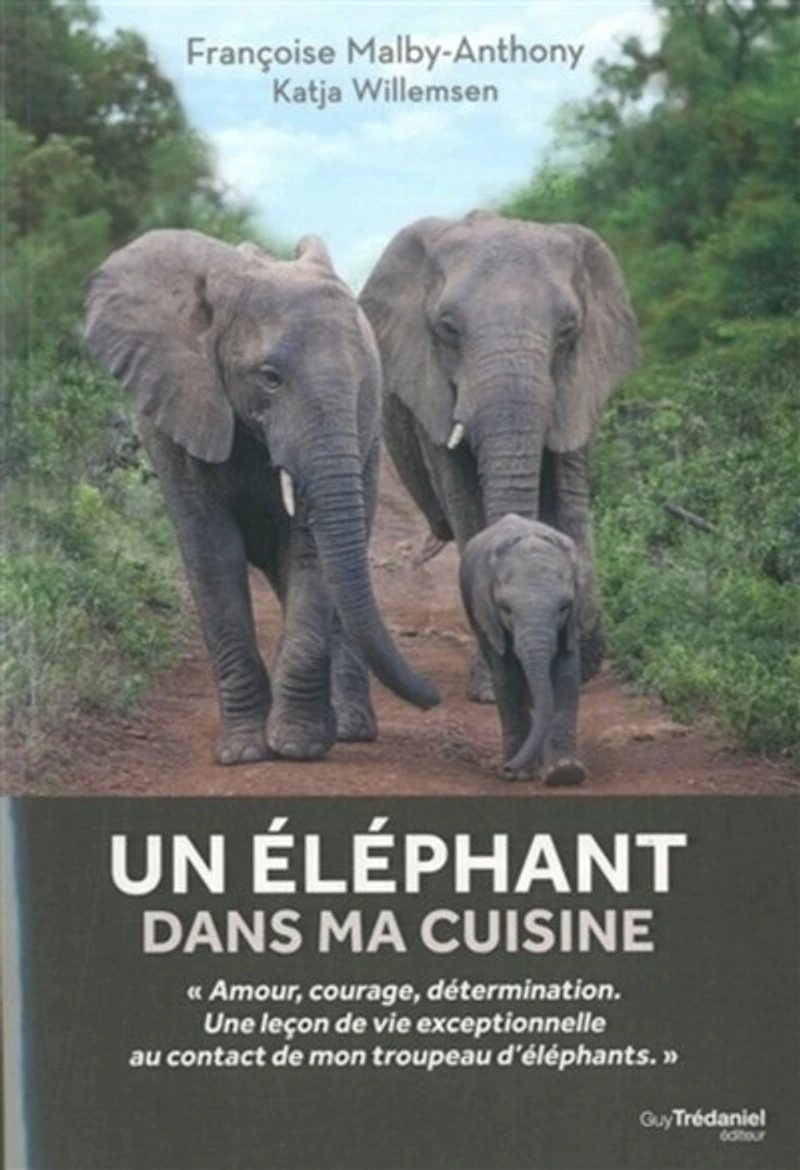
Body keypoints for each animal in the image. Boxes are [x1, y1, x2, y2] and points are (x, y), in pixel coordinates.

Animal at [83, 228, 439, 765]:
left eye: (363, 384)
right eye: (270, 378)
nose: (436, 699)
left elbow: (309, 553)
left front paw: (296, 746)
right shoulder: (178, 416)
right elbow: (212, 555)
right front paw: (244, 752)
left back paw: (349, 728)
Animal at [359, 211, 638, 698]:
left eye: (568, 331)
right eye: (448, 329)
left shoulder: (578, 384)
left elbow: (570, 503)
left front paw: (580, 662)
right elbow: (467, 504)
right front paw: (493, 688)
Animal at [459, 514, 585, 785]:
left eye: (564, 607)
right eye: (506, 609)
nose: (506, 769)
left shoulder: (572, 620)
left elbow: (567, 675)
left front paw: (565, 773)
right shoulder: (489, 614)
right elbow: (507, 679)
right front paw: (521, 774)